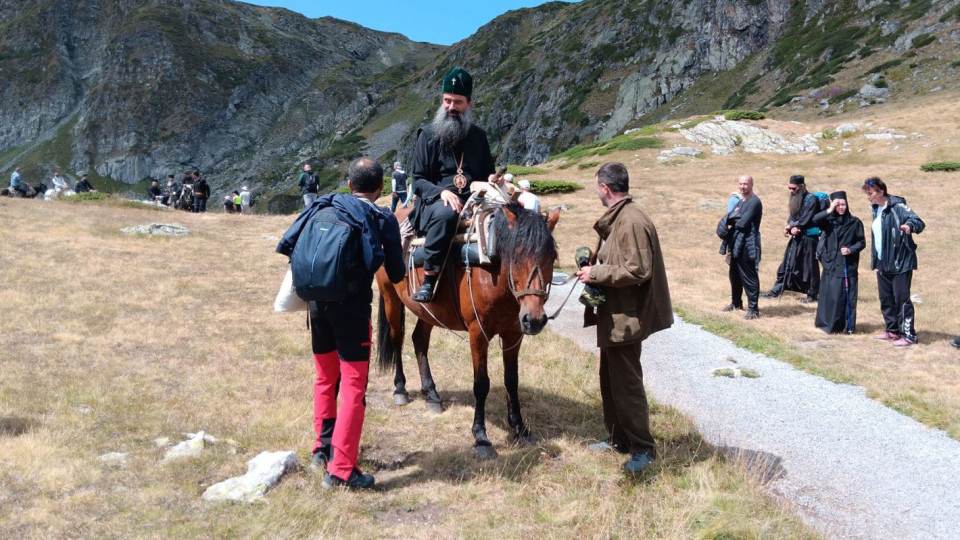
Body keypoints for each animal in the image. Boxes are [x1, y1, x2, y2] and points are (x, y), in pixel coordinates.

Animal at [372, 200, 560, 458]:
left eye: (551, 257)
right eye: (517, 255)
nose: (535, 319)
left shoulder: (513, 334)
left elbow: (512, 380)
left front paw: (520, 429)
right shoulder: (478, 335)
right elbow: (481, 384)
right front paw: (480, 437)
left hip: (428, 310)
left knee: (419, 339)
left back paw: (431, 394)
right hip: (390, 296)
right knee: (397, 339)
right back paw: (400, 389)